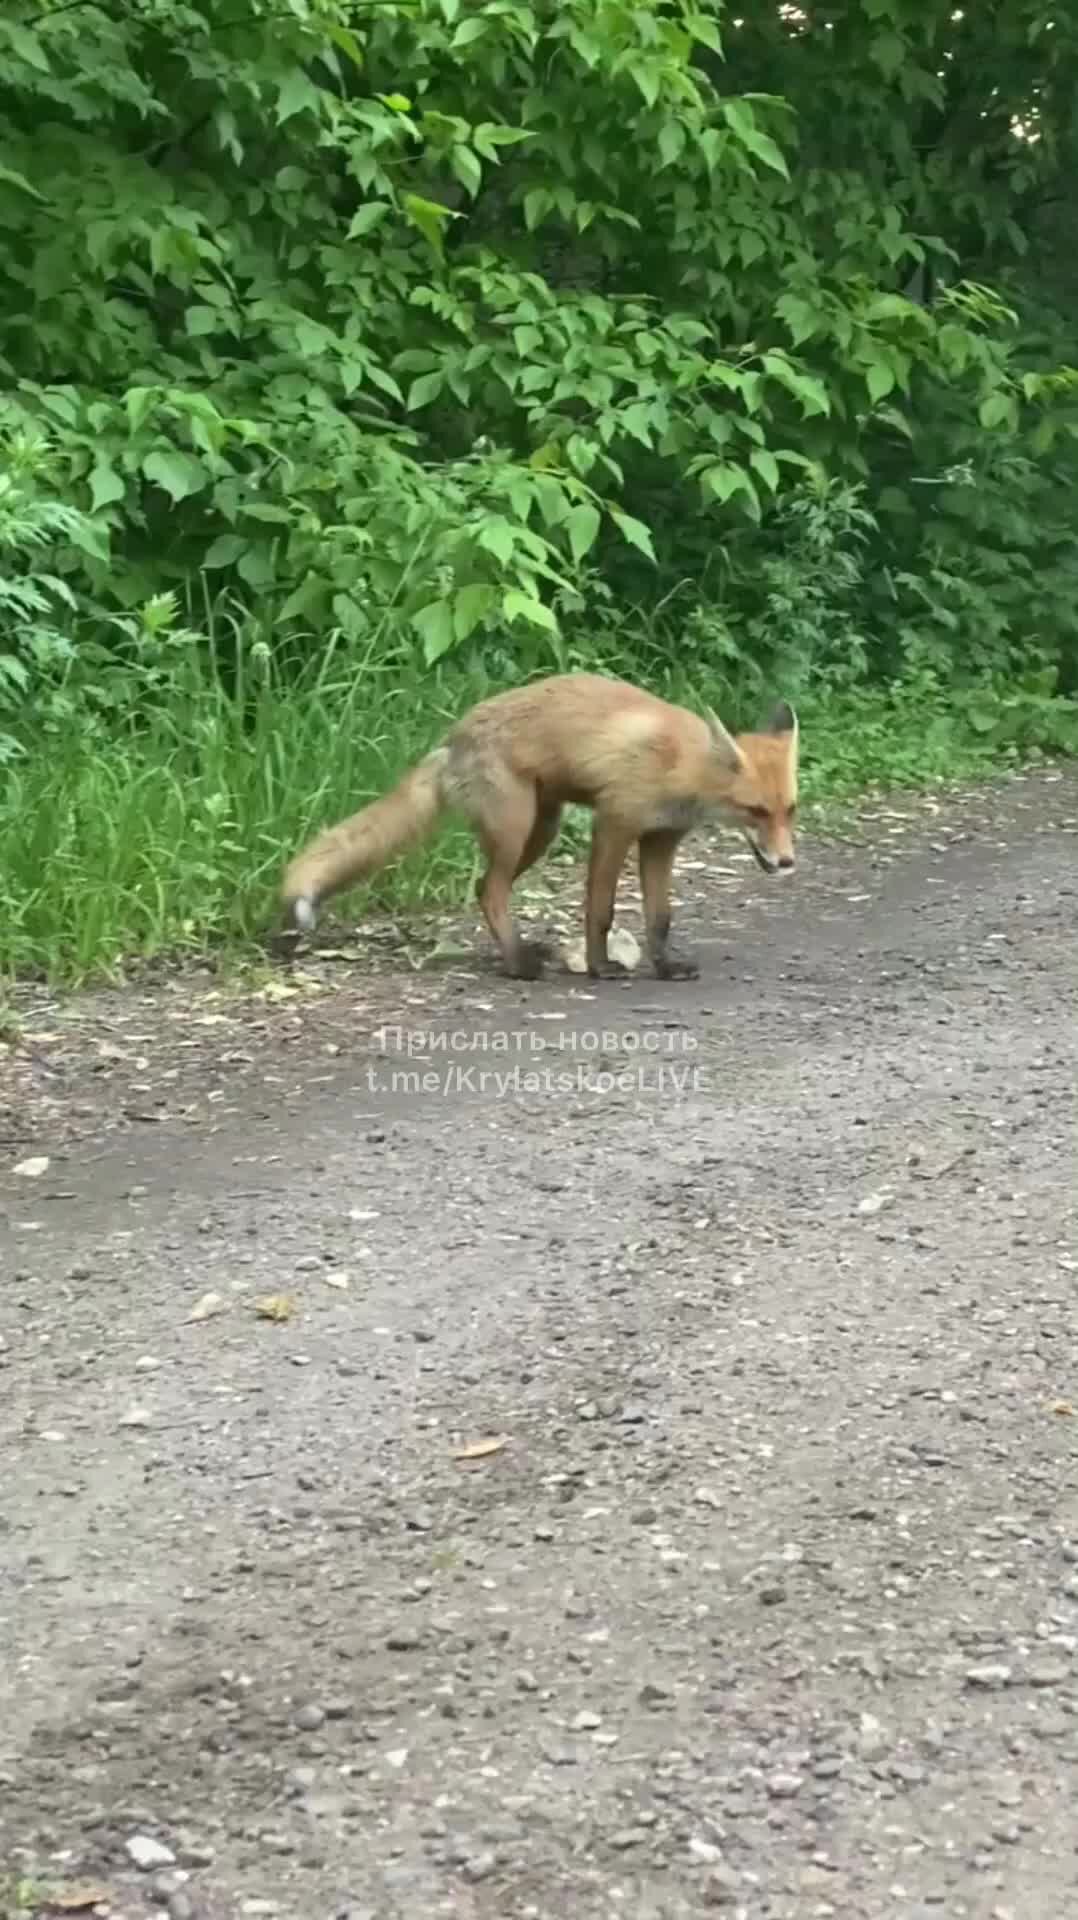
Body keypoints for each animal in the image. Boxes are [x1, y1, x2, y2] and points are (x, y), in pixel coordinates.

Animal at [282, 672, 795, 975]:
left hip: (540, 831)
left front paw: (666, 966)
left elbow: (660, 917)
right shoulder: (614, 823)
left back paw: (518, 952)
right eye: (756, 811)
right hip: (516, 828)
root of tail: (453, 738)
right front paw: (599, 967)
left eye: (789, 810)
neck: (679, 764)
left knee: (483, 889)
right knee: (491, 891)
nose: (788, 862)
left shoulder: (660, 840)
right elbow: (600, 910)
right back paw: (518, 964)